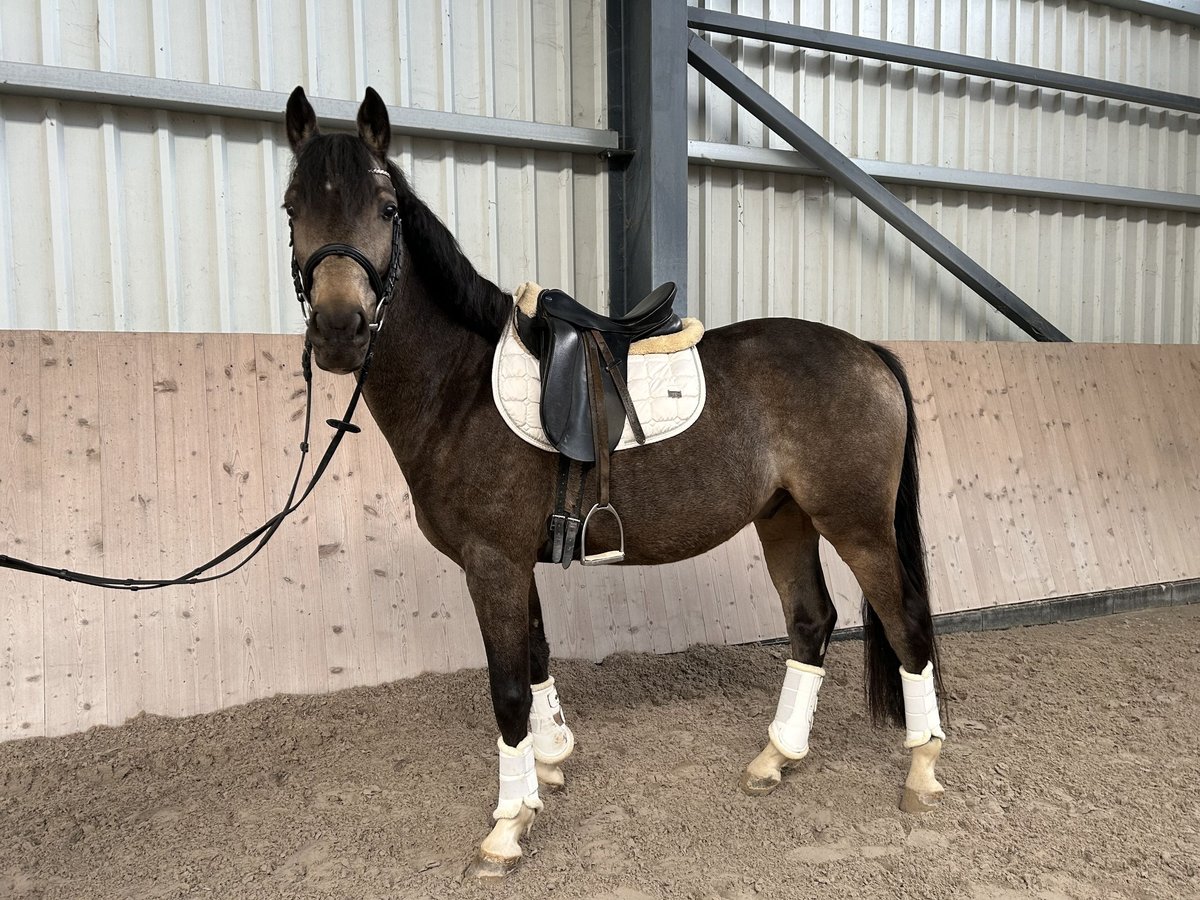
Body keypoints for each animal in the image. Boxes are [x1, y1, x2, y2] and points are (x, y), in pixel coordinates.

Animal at [282, 86, 947, 878]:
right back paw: (776, 757)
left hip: (857, 525)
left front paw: (506, 827)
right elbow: (536, 658)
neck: (459, 389)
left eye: (386, 210)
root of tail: (868, 352)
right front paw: (547, 767)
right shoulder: (513, 563)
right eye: (292, 207)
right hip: (785, 518)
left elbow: (508, 689)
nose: (339, 331)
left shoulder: (491, 563)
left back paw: (922, 772)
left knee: (907, 624)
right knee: (812, 622)